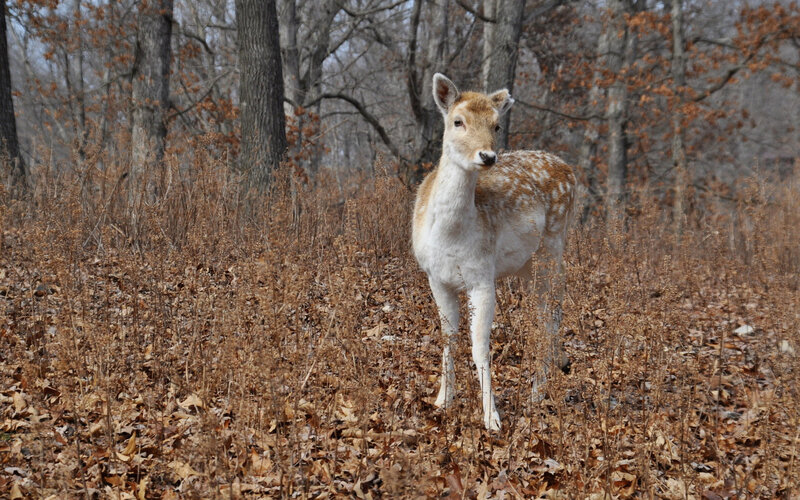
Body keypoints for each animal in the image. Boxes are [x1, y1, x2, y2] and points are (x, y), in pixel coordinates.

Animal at [412, 74, 576, 431]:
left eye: (497, 124)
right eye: (457, 121)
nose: (487, 156)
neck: (450, 237)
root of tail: (569, 169)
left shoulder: (482, 277)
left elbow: (479, 348)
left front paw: (492, 418)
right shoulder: (436, 278)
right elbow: (448, 338)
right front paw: (443, 400)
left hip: (553, 247)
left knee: (549, 315)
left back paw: (538, 393)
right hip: (527, 265)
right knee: (547, 314)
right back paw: (554, 371)